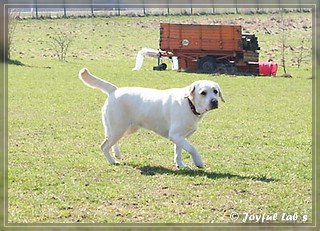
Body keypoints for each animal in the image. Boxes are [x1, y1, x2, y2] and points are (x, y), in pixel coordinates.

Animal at [78, 67, 224, 169]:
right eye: (203, 93)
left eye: (215, 91)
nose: (214, 101)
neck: (189, 104)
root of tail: (114, 90)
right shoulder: (175, 135)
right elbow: (192, 149)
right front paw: (198, 162)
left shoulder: (180, 137)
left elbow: (178, 152)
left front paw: (181, 165)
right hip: (118, 129)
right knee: (104, 145)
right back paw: (113, 161)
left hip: (124, 129)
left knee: (109, 141)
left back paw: (117, 154)